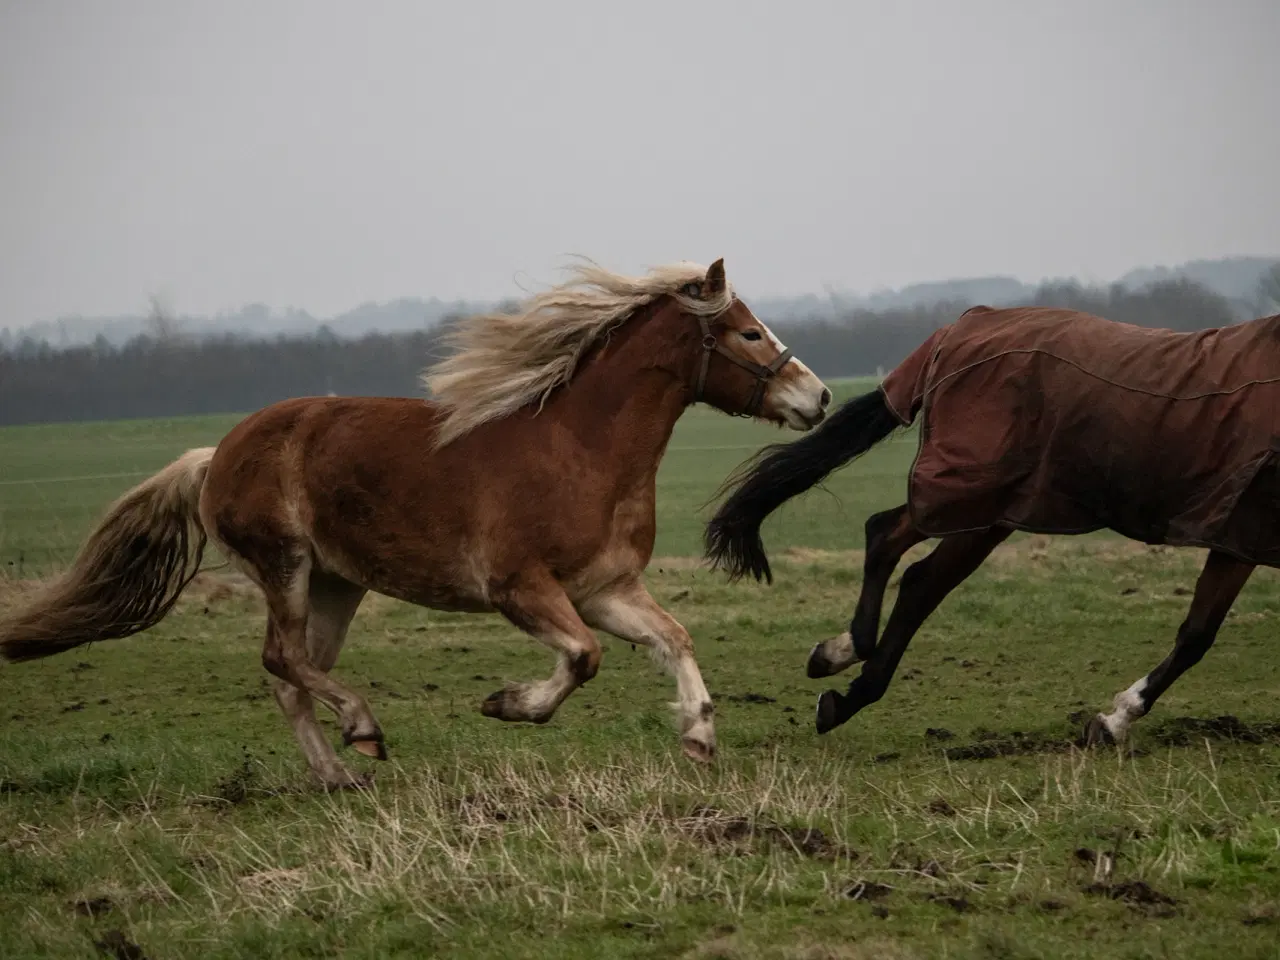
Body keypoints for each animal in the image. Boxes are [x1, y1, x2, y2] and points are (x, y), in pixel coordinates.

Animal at [0, 257, 829, 788]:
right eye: (749, 333)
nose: (817, 397)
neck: (583, 449)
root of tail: (216, 454)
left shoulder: (606, 590)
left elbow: (674, 640)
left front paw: (699, 737)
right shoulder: (522, 589)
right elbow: (584, 658)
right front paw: (508, 704)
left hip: (337, 584)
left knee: (292, 676)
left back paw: (338, 773)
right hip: (285, 567)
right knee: (283, 660)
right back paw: (362, 730)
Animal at [706, 308, 1280, 752]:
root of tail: (960, 330)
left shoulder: (1239, 536)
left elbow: (1197, 633)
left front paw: (1113, 720)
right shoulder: (1243, 529)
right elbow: (1196, 635)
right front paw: (1113, 720)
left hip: (985, 505)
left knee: (902, 557)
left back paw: (842, 666)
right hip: (979, 494)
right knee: (905, 560)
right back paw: (847, 682)